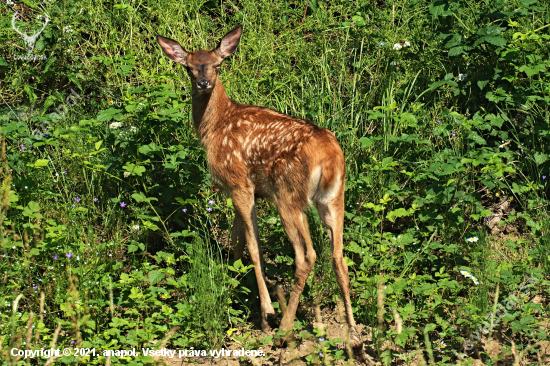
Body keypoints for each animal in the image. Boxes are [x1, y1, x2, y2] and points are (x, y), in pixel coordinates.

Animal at [158, 25, 366, 358]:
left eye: (217, 65)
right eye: (189, 67)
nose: (203, 83)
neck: (215, 127)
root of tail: (330, 156)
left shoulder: (239, 181)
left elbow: (254, 246)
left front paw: (265, 312)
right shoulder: (246, 190)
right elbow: (237, 239)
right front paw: (232, 278)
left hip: (288, 194)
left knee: (307, 255)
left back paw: (282, 330)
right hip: (334, 198)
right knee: (339, 257)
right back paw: (355, 338)